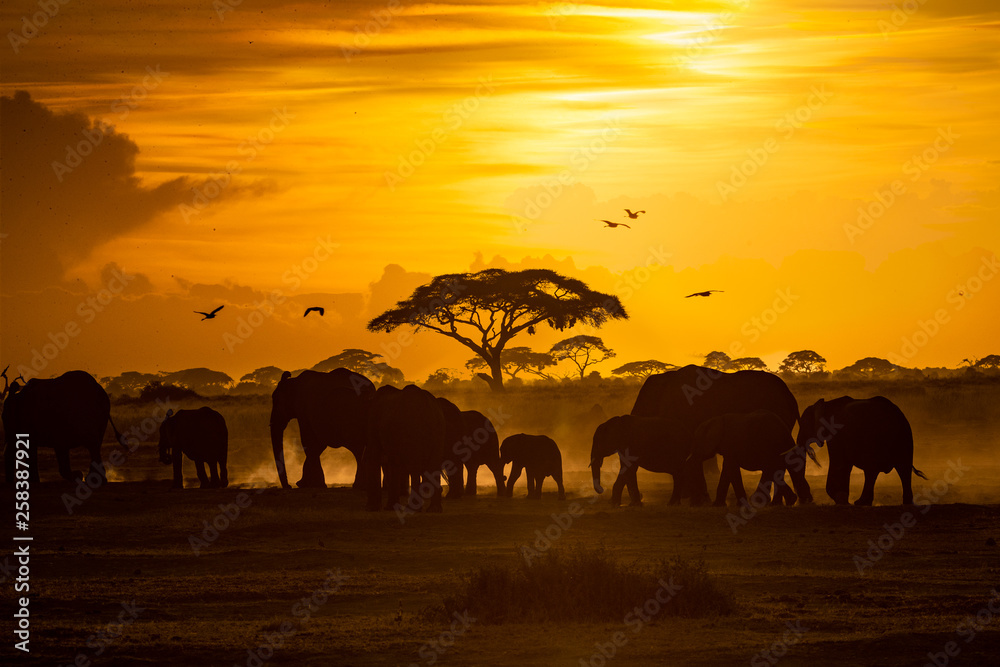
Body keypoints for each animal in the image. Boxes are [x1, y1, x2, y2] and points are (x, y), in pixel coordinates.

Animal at [364, 384, 446, 516]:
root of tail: (427, 405)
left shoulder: (373, 422)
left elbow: (374, 454)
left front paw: (371, 508)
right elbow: (393, 463)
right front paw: (389, 508)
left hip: (413, 429)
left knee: (415, 466)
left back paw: (413, 509)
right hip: (439, 429)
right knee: (434, 464)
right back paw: (434, 510)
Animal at [796, 396, 928, 506]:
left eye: (803, 424)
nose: (807, 500)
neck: (826, 404)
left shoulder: (836, 433)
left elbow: (839, 463)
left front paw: (841, 500)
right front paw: (843, 500)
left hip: (878, 440)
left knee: (873, 470)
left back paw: (860, 503)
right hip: (904, 437)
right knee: (902, 469)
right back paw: (905, 503)